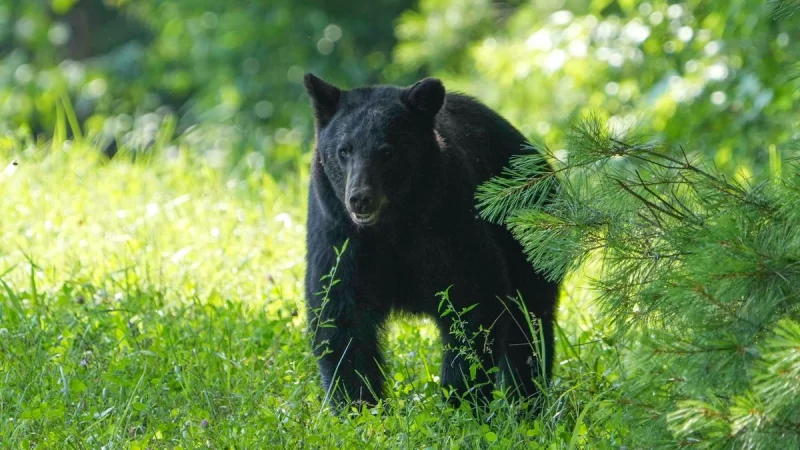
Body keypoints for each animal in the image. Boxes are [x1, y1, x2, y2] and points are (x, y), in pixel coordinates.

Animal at [302, 73, 560, 411]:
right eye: (344, 151)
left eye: (388, 151)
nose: (360, 198)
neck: (391, 228)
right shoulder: (340, 238)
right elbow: (339, 318)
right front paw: (360, 407)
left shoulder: (446, 223)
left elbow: (474, 300)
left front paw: (461, 401)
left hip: (529, 233)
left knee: (529, 325)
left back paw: (527, 400)